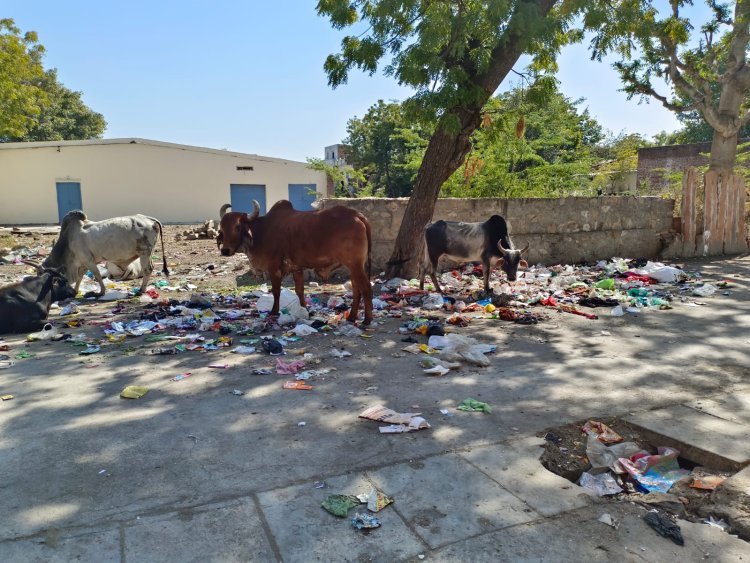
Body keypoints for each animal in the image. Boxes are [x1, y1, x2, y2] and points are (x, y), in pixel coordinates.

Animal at [41, 212, 169, 298]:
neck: (67, 242)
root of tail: (148, 218)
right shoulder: (83, 263)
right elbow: (80, 277)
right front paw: (75, 291)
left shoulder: (89, 261)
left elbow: (97, 275)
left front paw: (101, 292)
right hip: (148, 253)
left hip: (144, 252)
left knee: (148, 269)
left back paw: (141, 290)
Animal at [217, 202, 374, 326]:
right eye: (222, 227)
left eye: (237, 226)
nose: (225, 250)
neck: (261, 230)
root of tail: (357, 215)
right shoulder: (296, 268)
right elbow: (300, 291)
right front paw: (304, 310)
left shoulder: (274, 267)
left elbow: (276, 291)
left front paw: (274, 311)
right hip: (353, 267)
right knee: (356, 289)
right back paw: (352, 317)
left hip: (355, 265)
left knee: (365, 288)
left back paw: (367, 319)